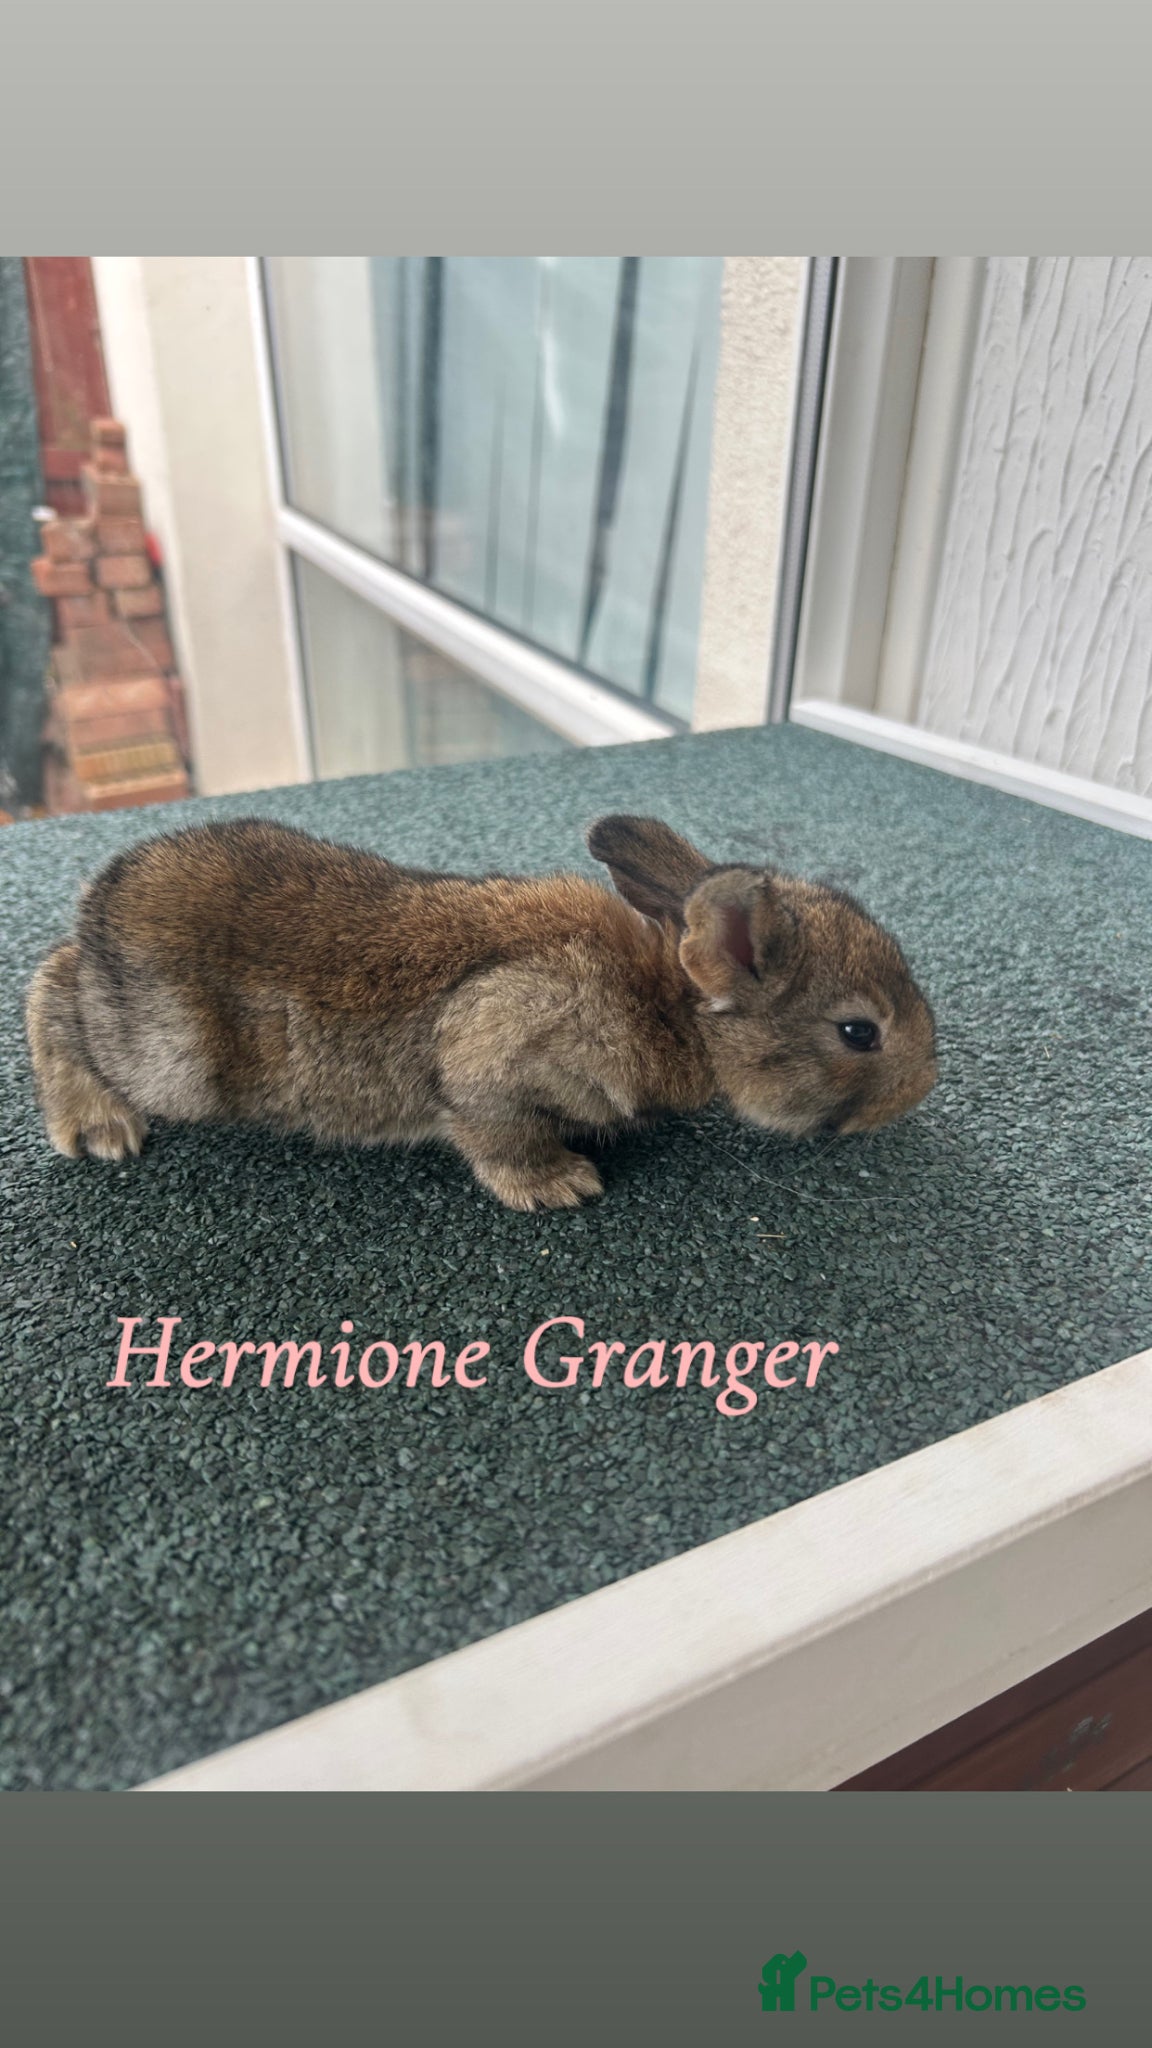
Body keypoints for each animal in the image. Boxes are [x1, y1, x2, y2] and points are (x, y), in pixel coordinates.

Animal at [25, 812, 937, 1211]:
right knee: (53, 990)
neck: (675, 1004)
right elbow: (493, 1125)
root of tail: (102, 902)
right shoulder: (500, 1045)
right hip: (172, 1060)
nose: (924, 1084)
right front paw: (558, 1185)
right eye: (859, 1032)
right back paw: (97, 1124)